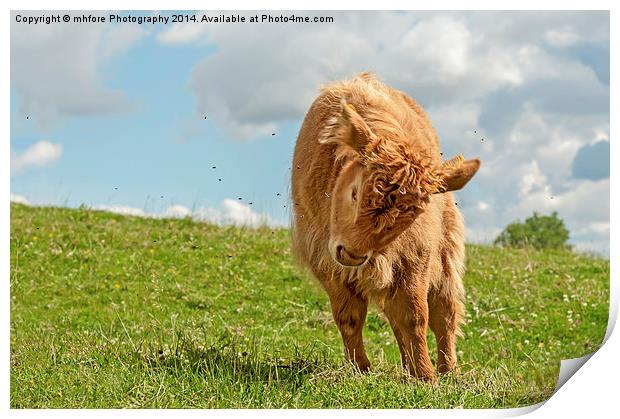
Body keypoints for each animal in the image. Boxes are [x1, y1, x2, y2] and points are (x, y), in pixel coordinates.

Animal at [290, 74, 480, 382]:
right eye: (355, 193)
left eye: (411, 217)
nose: (353, 254)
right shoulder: (325, 259)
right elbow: (349, 316)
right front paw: (360, 369)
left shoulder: (416, 256)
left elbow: (415, 315)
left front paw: (427, 376)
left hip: (445, 258)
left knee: (444, 312)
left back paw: (447, 370)